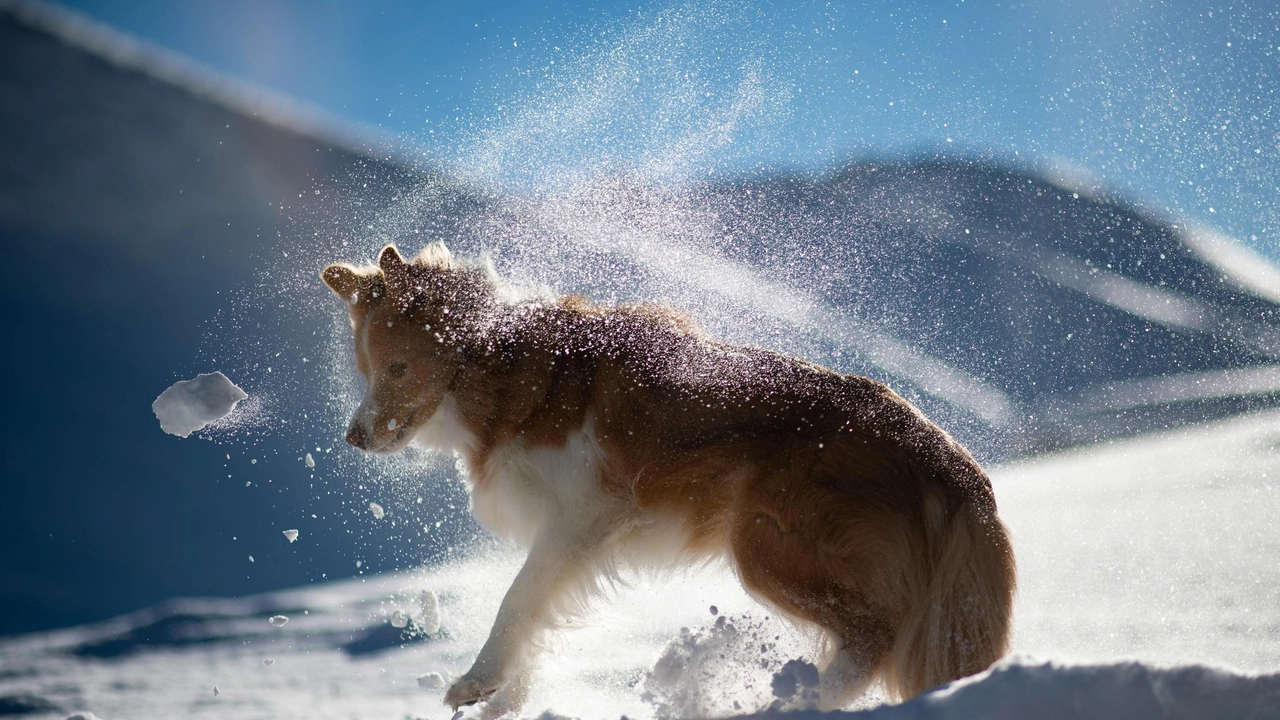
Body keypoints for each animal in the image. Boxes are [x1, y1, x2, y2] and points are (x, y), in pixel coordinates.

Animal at [322, 243, 1018, 712]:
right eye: (364, 371)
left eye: (397, 368)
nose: (353, 437)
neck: (497, 365)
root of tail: (945, 452)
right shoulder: (570, 536)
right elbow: (536, 616)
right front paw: (508, 700)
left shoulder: (585, 516)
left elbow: (517, 599)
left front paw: (480, 681)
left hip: (767, 546)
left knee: (875, 634)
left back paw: (791, 703)